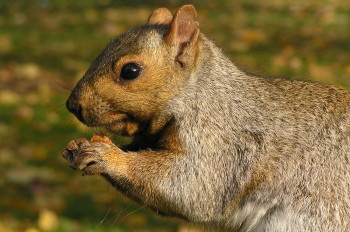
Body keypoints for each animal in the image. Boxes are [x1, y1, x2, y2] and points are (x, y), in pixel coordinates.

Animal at [63, 4, 350, 231]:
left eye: (130, 71)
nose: (72, 105)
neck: (200, 95)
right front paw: (80, 147)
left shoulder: (221, 144)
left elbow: (194, 187)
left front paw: (108, 156)